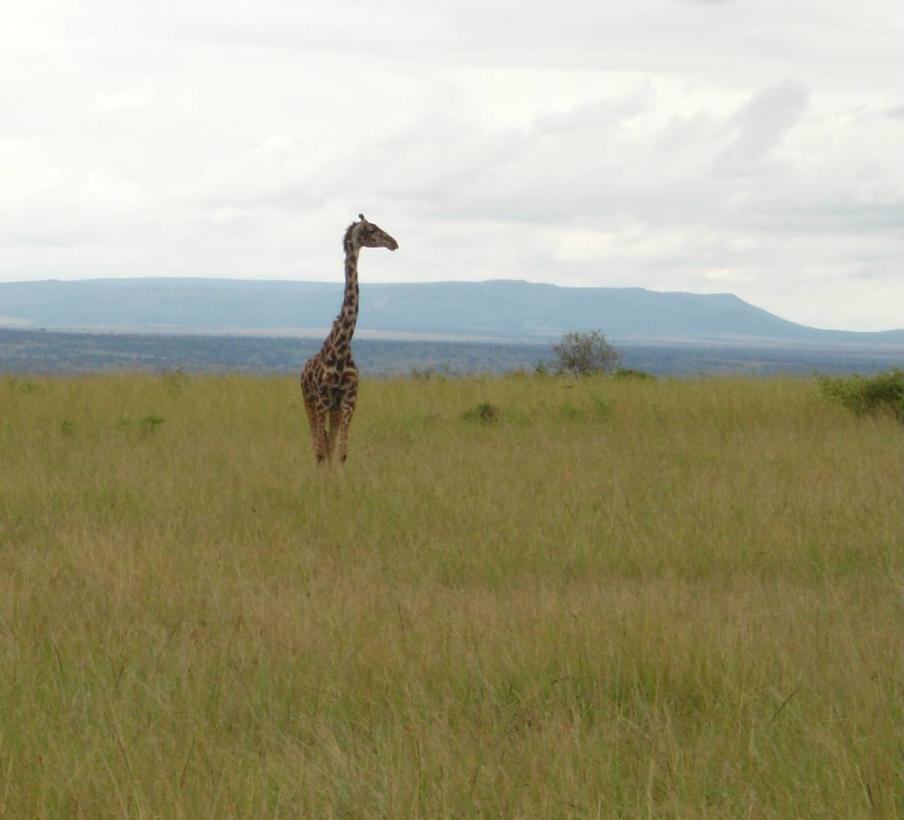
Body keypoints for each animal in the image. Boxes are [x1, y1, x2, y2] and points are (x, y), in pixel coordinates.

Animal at [302, 215, 398, 464]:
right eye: (371, 229)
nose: (394, 242)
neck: (342, 345)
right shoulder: (322, 399)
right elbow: (321, 452)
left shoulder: (348, 400)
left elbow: (341, 453)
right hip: (309, 402)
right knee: (317, 445)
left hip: (332, 409)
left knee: (328, 443)